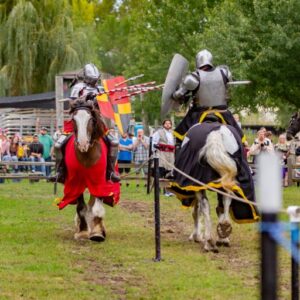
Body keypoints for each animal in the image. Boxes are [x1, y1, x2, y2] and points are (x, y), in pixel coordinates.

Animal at [58, 97, 120, 243]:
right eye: (73, 120)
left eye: (91, 119)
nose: (82, 143)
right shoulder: (75, 183)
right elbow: (81, 207)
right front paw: (82, 231)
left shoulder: (99, 182)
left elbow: (96, 207)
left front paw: (97, 232)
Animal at [169, 119, 258, 253]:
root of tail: (215, 134)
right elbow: (219, 207)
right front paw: (222, 238)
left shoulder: (195, 186)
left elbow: (197, 211)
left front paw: (196, 236)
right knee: (227, 199)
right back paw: (223, 229)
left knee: (205, 206)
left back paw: (209, 241)